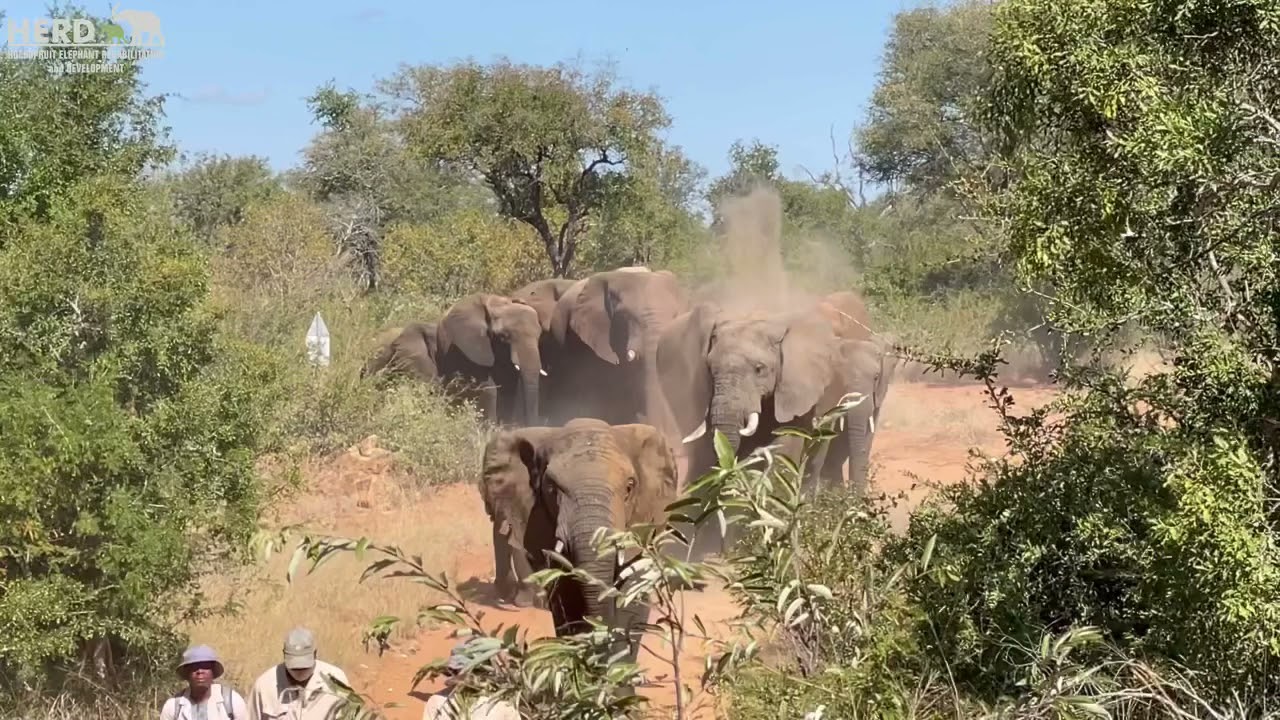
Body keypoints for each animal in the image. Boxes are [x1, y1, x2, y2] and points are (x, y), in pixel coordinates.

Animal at [435, 293, 545, 427]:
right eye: (504, 337)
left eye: (539, 335)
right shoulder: (472, 348)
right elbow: (489, 387)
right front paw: (492, 427)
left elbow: (510, 387)